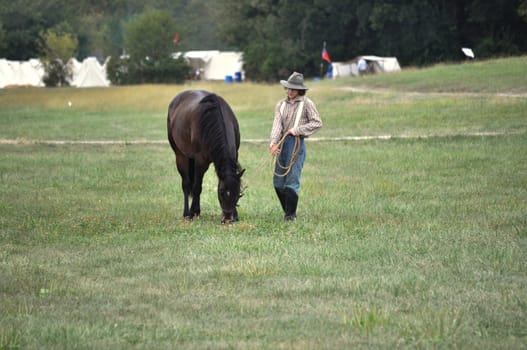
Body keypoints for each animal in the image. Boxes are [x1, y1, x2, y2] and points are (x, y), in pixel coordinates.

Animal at [167, 89, 245, 221]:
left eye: (237, 194)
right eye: (221, 192)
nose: (228, 218)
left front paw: (235, 215)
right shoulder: (200, 161)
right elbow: (197, 186)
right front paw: (193, 212)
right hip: (180, 155)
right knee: (186, 184)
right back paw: (187, 213)